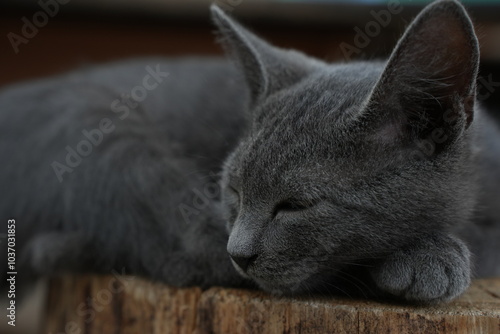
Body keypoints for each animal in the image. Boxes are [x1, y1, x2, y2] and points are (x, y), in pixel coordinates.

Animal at [0, 0, 498, 304]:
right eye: (235, 192)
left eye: (296, 205)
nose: (239, 252)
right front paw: (427, 258)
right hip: (94, 118)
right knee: (187, 250)